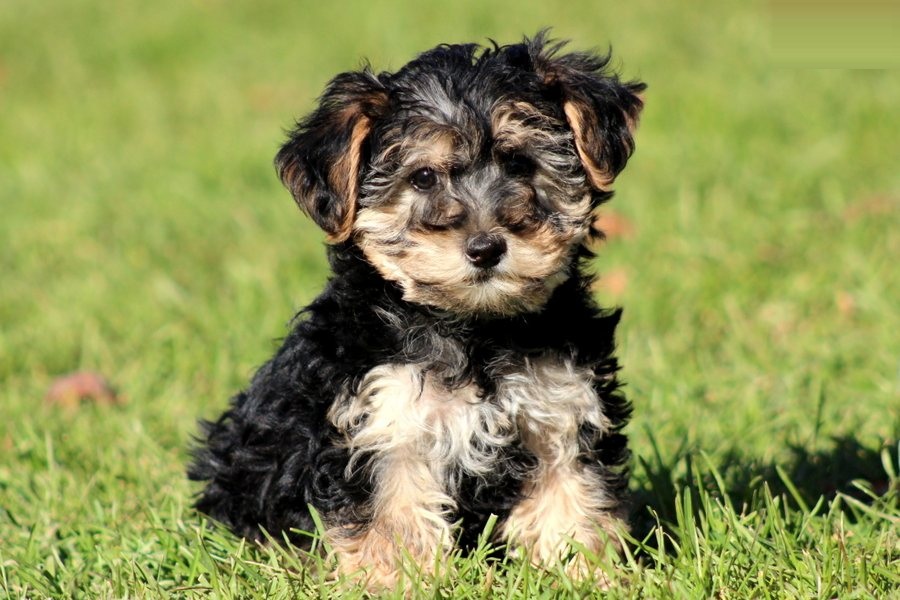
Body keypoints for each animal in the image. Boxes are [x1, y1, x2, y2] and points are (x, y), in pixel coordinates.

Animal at [190, 30, 644, 588]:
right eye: (424, 177)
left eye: (519, 164)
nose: (485, 247)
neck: (476, 332)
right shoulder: (383, 424)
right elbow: (393, 521)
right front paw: (396, 581)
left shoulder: (562, 410)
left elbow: (572, 500)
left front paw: (581, 575)